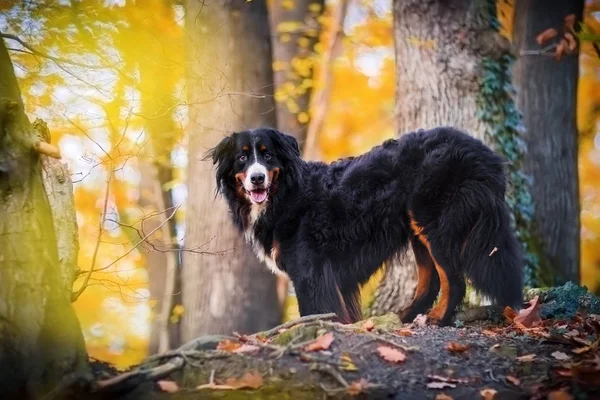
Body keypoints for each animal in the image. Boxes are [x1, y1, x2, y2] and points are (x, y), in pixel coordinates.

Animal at [206, 126, 524, 326]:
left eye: (268, 155)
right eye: (242, 157)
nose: (257, 178)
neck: (286, 194)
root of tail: (485, 154)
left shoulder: (309, 269)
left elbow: (315, 310)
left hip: (433, 219)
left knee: (453, 280)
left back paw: (436, 319)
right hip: (417, 227)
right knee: (431, 280)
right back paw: (405, 316)